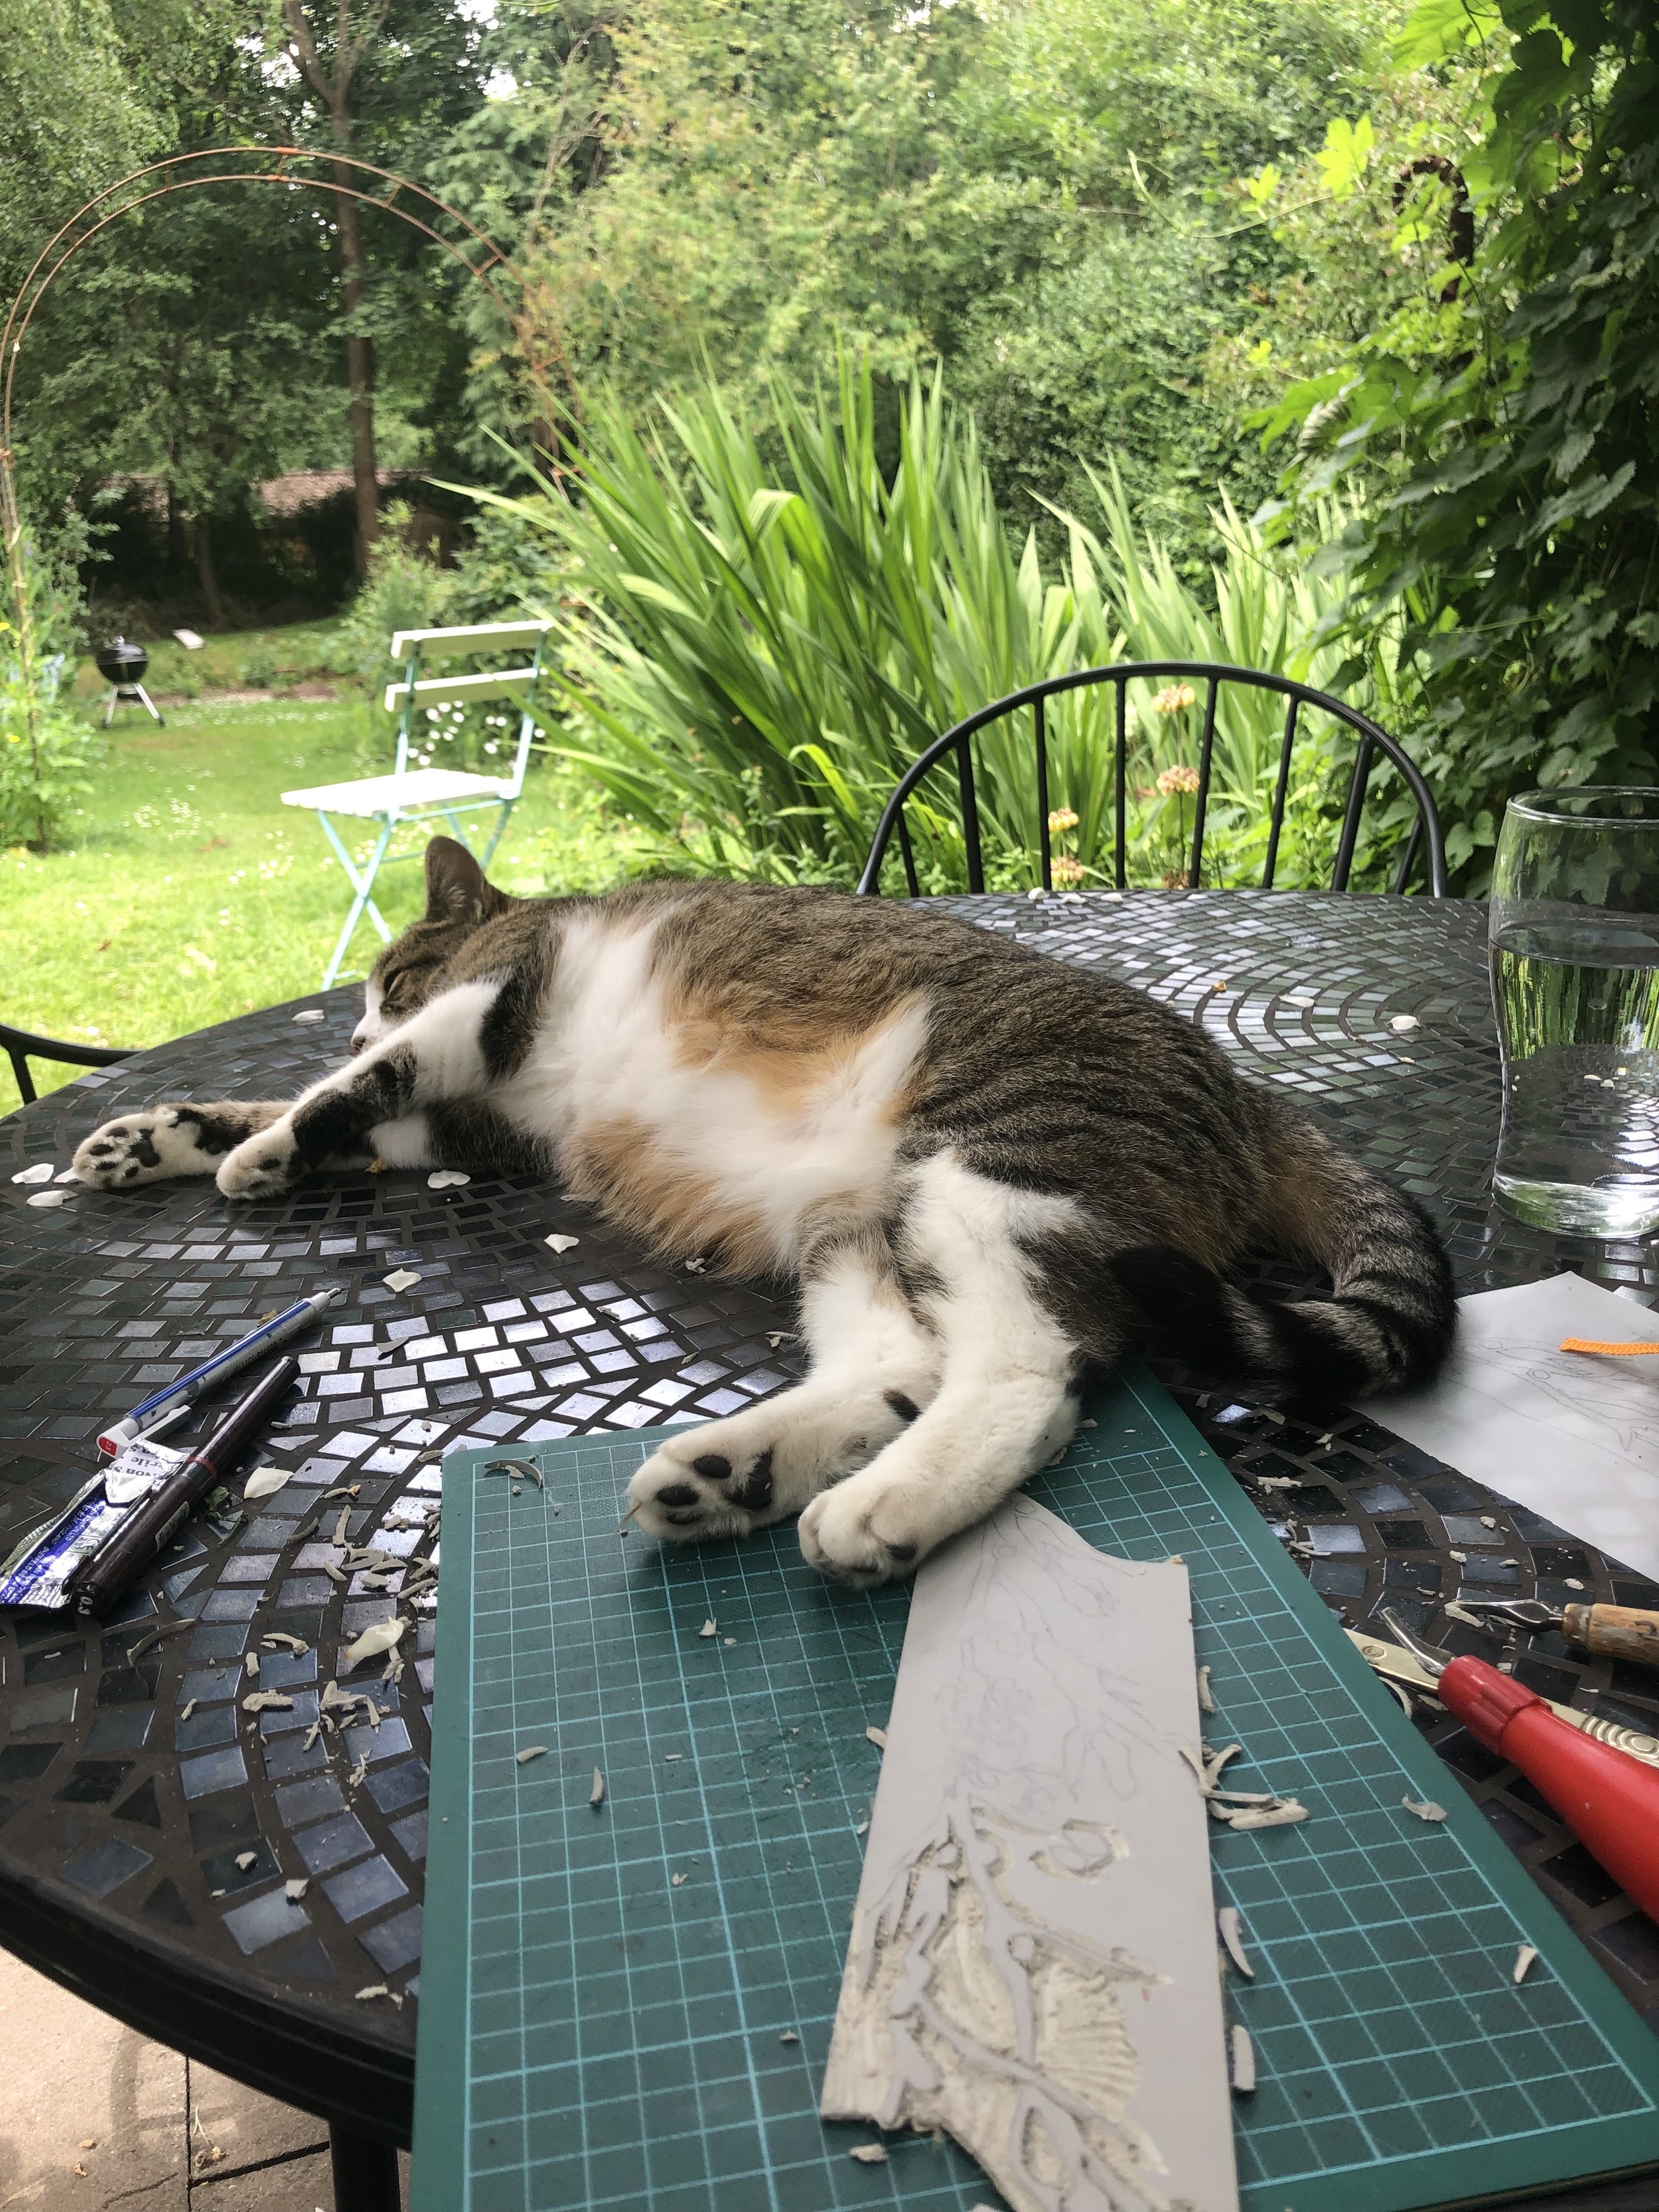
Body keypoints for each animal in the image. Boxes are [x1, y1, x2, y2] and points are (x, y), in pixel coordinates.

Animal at [74, 836, 1451, 1584]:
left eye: (392, 976)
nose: (357, 1019)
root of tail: (1246, 1089)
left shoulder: (491, 995)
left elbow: (354, 1092)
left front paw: (268, 1144)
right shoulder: (484, 1128)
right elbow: (348, 1111)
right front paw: (171, 1135)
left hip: (984, 1162)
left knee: (1034, 1369)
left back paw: (889, 1501)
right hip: (862, 1224)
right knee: (902, 1367)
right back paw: (736, 1474)